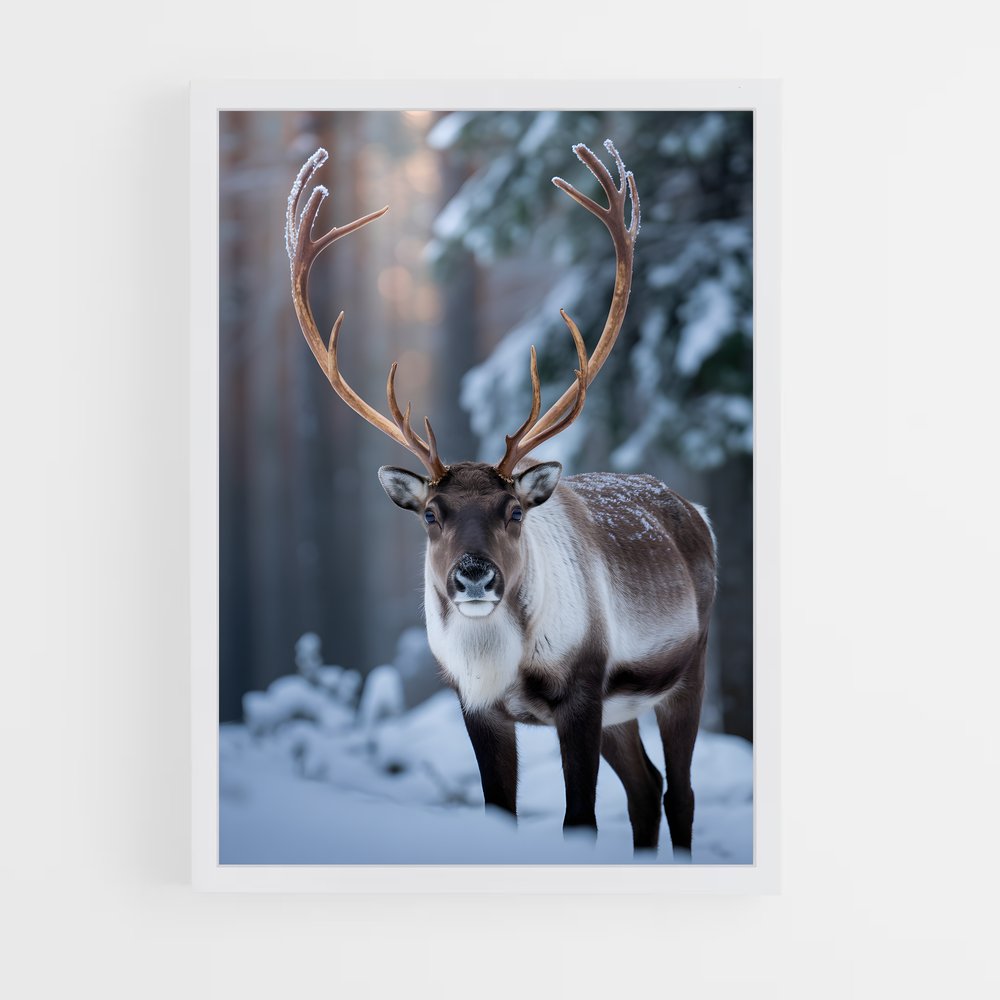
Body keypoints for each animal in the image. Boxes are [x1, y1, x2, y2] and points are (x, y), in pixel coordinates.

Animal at [284, 140, 717, 856]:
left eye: (513, 511)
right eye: (431, 514)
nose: (474, 576)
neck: (507, 668)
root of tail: (696, 511)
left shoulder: (582, 694)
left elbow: (578, 821)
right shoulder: (478, 708)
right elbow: (499, 813)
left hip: (687, 669)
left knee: (678, 790)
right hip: (623, 710)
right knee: (646, 786)